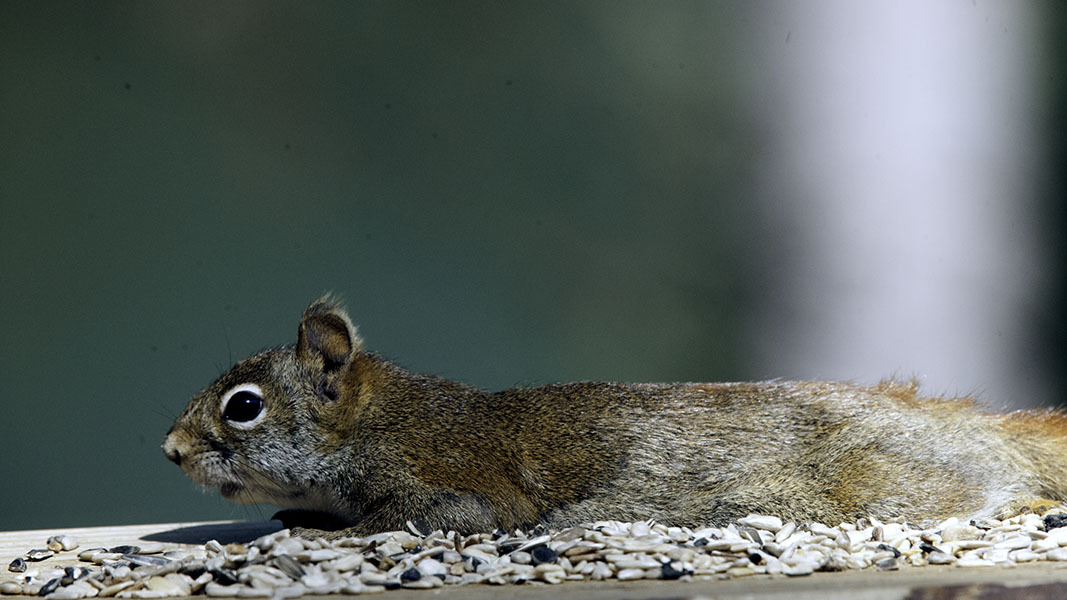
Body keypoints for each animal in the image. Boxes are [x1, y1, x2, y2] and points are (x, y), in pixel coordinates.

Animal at [163, 296, 1067, 537]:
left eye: (243, 409)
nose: (170, 451)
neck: (377, 420)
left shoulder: (447, 478)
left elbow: (430, 517)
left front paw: (334, 533)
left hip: (872, 484)